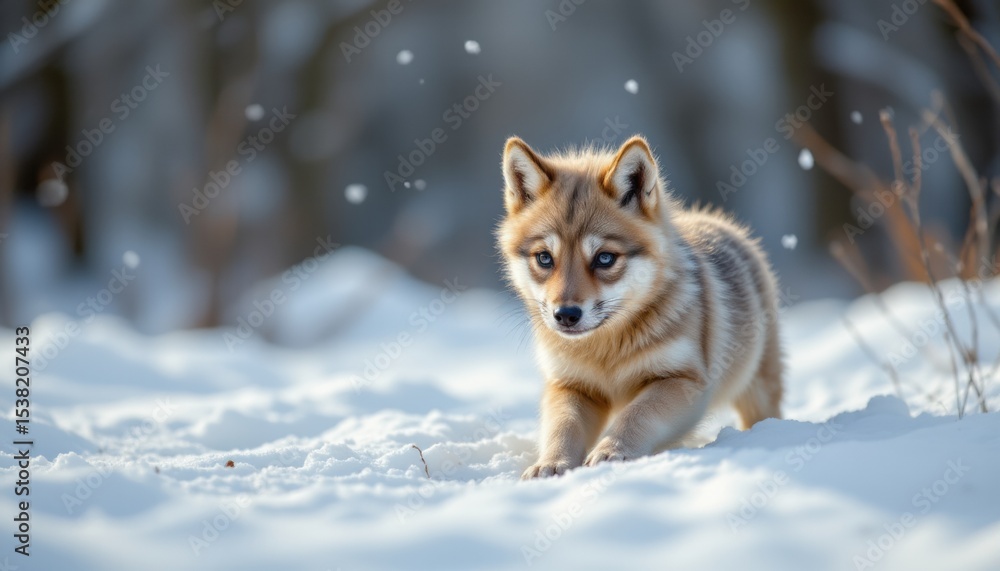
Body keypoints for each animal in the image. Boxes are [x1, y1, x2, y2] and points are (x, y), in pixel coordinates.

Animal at [496, 135, 783, 479]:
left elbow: (636, 415)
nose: (565, 315)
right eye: (544, 258)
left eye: (605, 258)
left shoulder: (681, 380)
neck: (606, 352)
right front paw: (551, 464)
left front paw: (610, 452)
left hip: (758, 388)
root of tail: (710, 220)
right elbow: (562, 427)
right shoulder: (571, 386)